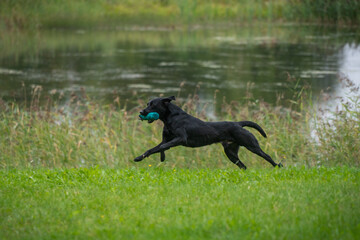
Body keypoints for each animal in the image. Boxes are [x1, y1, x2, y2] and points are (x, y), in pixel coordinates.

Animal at [134, 95, 282, 169]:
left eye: (153, 104)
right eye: (147, 103)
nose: (141, 112)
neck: (171, 117)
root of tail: (238, 124)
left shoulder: (181, 138)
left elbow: (163, 146)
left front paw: (162, 155)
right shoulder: (166, 139)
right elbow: (153, 149)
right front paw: (140, 158)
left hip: (251, 145)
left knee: (267, 156)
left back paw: (278, 166)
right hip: (231, 153)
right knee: (243, 166)